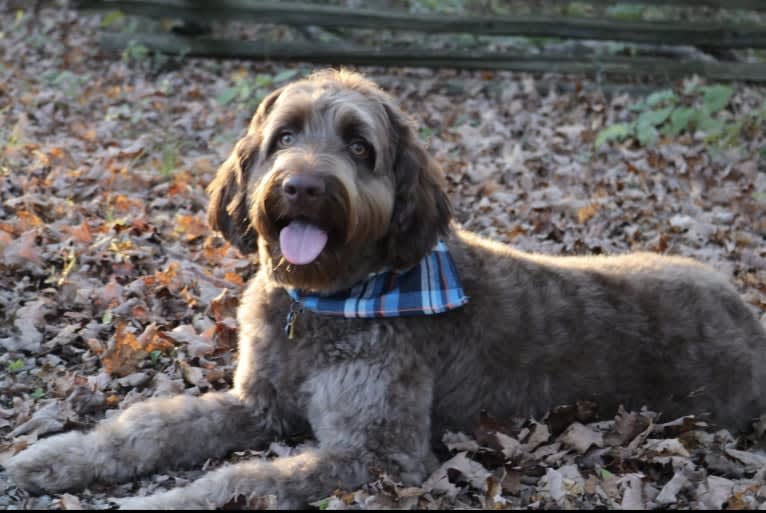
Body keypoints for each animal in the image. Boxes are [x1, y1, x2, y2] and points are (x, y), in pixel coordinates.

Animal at [6, 69, 766, 508]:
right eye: (285, 135)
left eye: (359, 147)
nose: (302, 187)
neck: (326, 300)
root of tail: (745, 312)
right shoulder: (258, 404)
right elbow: (144, 426)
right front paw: (53, 458)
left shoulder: (380, 453)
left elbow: (243, 479)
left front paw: (161, 502)